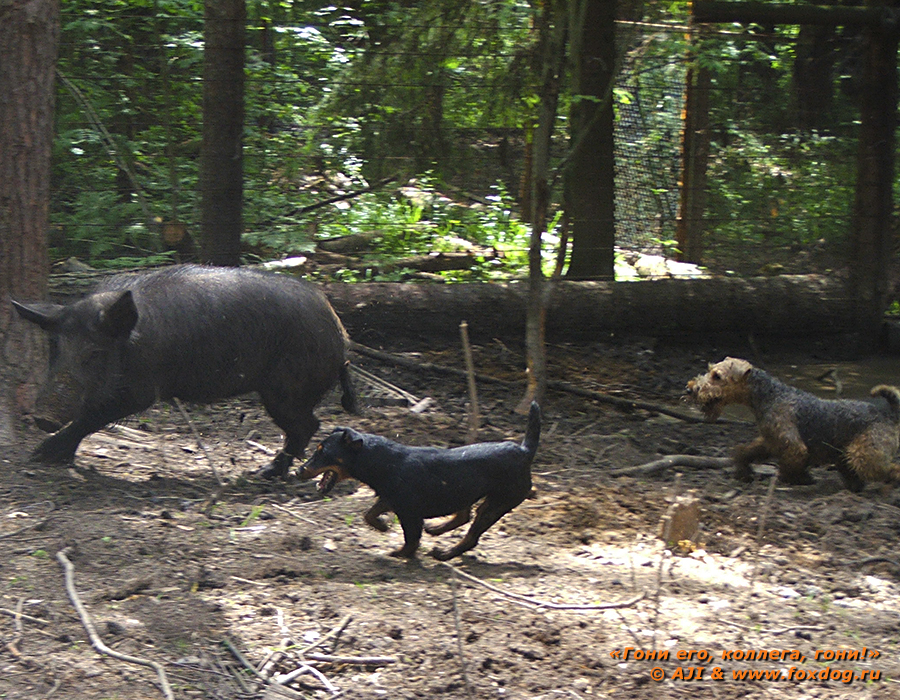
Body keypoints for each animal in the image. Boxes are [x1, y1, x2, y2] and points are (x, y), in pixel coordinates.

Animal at [300, 402, 540, 560]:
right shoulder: (390, 499)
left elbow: (411, 538)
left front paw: (400, 553)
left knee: (472, 533)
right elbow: (369, 514)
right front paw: (383, 526)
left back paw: (445, 553)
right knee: (463, 515)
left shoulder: (408, 512)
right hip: (464, 491)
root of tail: (524, 451)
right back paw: (437, 529)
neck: (383, 462)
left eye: (322, 452)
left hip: (498, 502)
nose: (299, 470)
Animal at [684, 358, 900, 490]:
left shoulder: (791, 444)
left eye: (717, 376)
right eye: (710, 370)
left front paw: (799, 479)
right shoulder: (770, 439)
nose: (690, 389)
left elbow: (791, 465)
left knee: (891, 469)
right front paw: (742, 471)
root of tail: (889, 412)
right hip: (845, 457)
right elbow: (745, 452)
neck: (770, 395)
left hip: (863, 455)